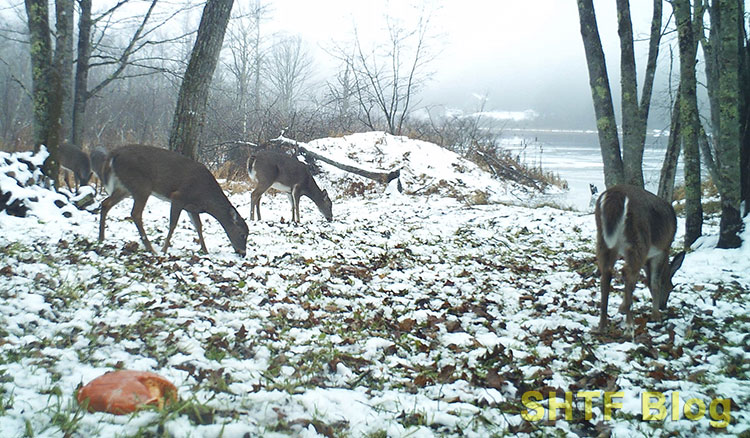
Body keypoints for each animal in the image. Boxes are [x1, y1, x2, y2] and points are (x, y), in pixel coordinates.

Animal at [95, 145, 250, 256]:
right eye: (242, 234)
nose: (243, 253)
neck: (206, 198)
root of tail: (114, 153)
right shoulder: (178, 197)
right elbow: (173, 224)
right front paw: (164, 250)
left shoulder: (191, 207)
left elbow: (199, 227)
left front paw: (205, 251)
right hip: (142, 185)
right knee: (135, 213)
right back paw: (151, 249)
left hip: (124, 187)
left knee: (106, 203)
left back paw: (101, 238)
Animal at [592, 185, 688, 332]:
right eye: (671, 287)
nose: (663, 305)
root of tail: (615, 195)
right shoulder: (662, 250)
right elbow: (654, 281)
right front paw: (655, 315)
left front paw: (622, 307)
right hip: (639, 238)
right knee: (626, 272)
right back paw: (629, 325)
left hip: (604, 240)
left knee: (607, 273)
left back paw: (602, 326)